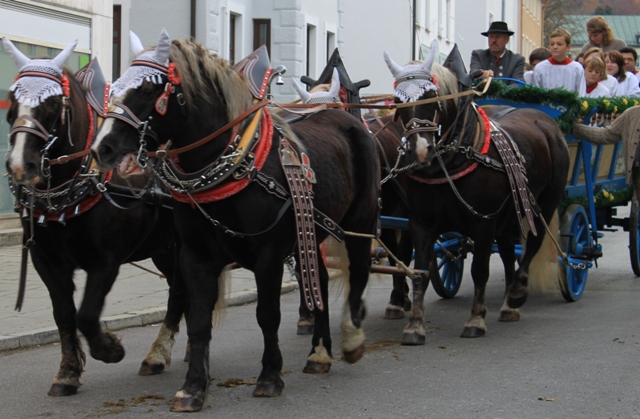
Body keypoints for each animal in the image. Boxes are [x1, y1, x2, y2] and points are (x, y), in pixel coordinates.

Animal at [2, 37, 188, 396]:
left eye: (51, 104)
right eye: (12, 102)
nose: (19, 165)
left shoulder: (106, 260)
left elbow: (86, 315)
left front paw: (110, 349)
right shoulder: (46, 261)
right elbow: (64, 314)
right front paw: (67, 373)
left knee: (180, 291)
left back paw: (158, 354)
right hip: (163, 248)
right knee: (178, 289)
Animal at [91, 30, 379, 412]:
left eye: (151, 88)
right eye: (118, 83)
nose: (102, 148)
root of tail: (346, 118)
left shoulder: (268, 255)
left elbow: (267, 314)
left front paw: (270, 376)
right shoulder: (195, 256)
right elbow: (198, 319)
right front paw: (192, 388)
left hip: (361, 219)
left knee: (358, 269)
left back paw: (351, 339)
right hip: (310, 231)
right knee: (316, 277)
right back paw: (319, 352)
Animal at [383, 42, 570, 344]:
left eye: (431, 96)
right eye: (398, 101)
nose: (420, 151)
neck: (453, 159)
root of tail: (543, 119)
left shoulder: (483, 223)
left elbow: (480, 270)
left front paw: (476, 320)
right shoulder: (421, 222)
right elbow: (421, 271)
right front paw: (414, 326)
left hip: (545, 202)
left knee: (532, 245)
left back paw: (517, 292)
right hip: (509, 214)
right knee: (507, 251)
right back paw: (508, 304)